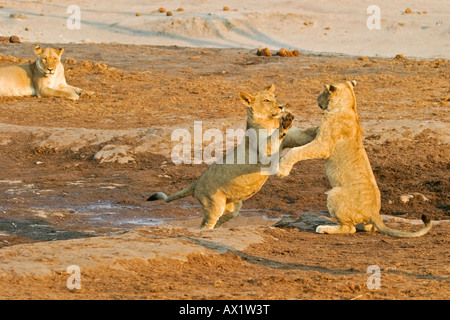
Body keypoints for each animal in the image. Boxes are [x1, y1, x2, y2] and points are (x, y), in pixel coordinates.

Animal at [147, 84, 316, 230]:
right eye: (266, 100)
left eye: (275, 96)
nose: (282, 106)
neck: (270, 122)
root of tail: (196, 182)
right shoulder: (263, 151)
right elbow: (273, 139)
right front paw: (285, 122)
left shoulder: (294, 137)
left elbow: (307, 135)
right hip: (213, 204)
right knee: (205, 225)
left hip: (232, 207)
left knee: (220, 220)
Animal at [278, 80, 432, 238]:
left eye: (324, 92)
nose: (316, 99)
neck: (349, 107)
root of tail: (375, 213)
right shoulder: (316, 133)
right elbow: (299, 136)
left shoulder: (323, 145)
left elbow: (296, 151)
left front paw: (281, 170)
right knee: (370, 227)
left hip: (334, 194)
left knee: (349, 228)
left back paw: (325, 228)